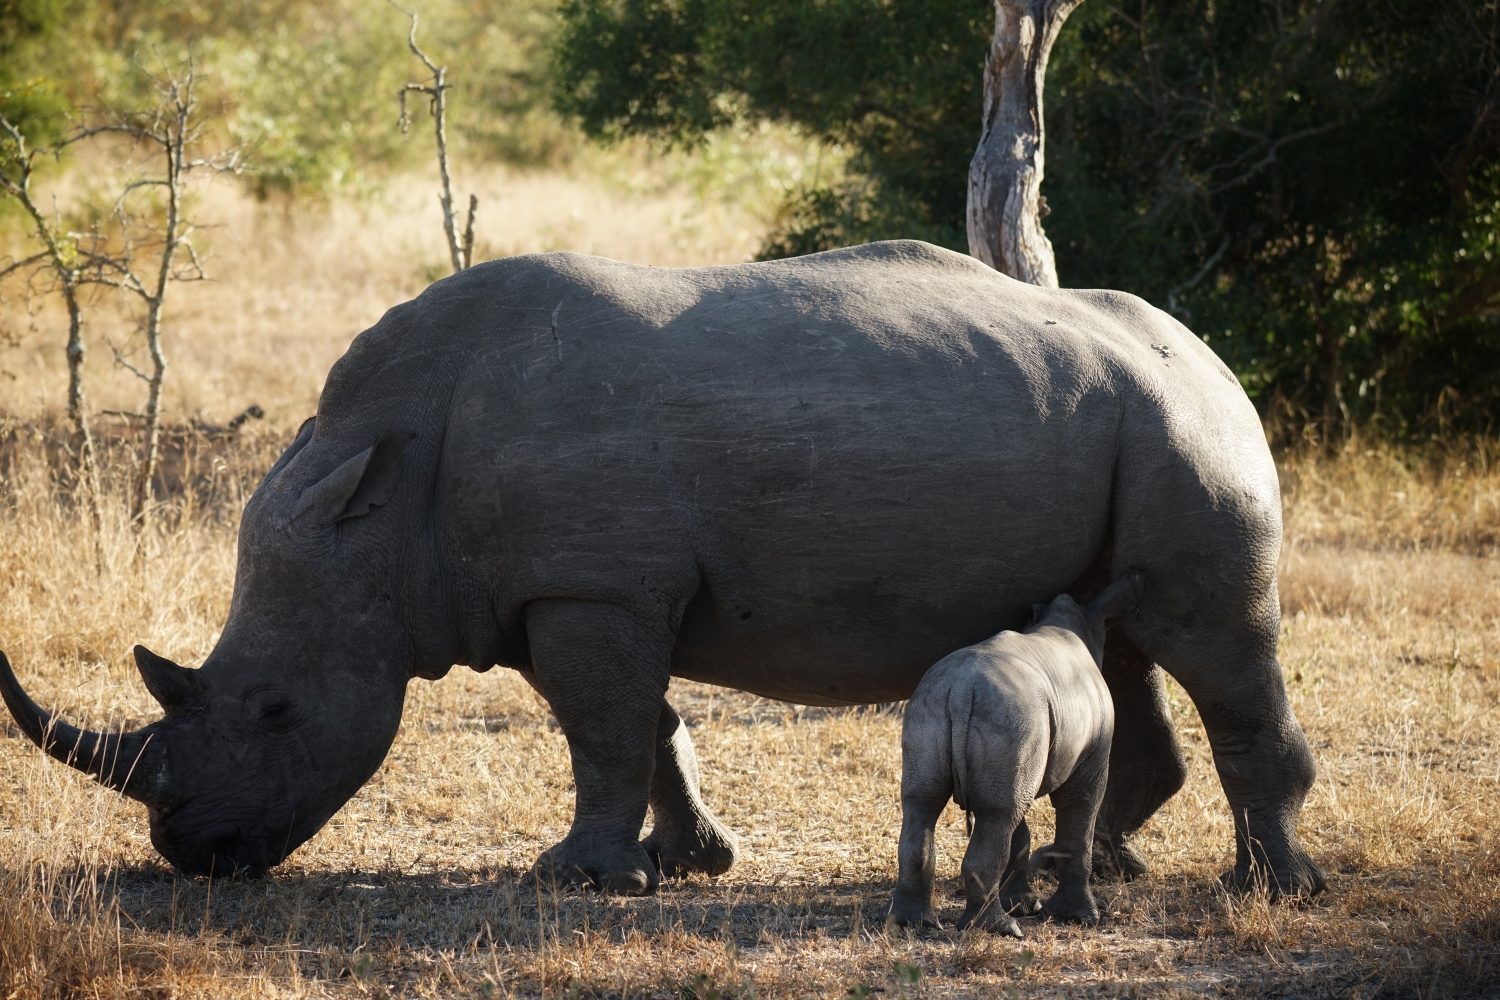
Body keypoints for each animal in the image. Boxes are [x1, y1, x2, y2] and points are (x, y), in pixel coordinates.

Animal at [882, 569, 1140, 941]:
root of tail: (962, 690)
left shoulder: (1019, 754)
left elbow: (1019, 832)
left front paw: (1024, 906)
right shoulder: (1091, 757)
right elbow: (1078, 823)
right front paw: (1079, 917)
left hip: (932, 706)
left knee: (928, 804)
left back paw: (910, 923)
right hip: (1009, 712)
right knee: (999, 814)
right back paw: (1001, 930)